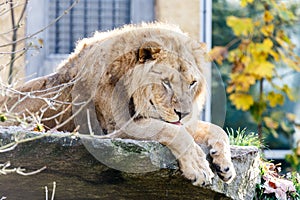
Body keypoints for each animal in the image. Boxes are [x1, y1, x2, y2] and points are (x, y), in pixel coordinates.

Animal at [1, 23, 237, 186]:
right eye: (166, 82)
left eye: (192, 83)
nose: (184, 113)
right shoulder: (117, 128)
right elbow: (173, 132)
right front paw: (199, 167)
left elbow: (217, 130)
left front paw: (225, 165)